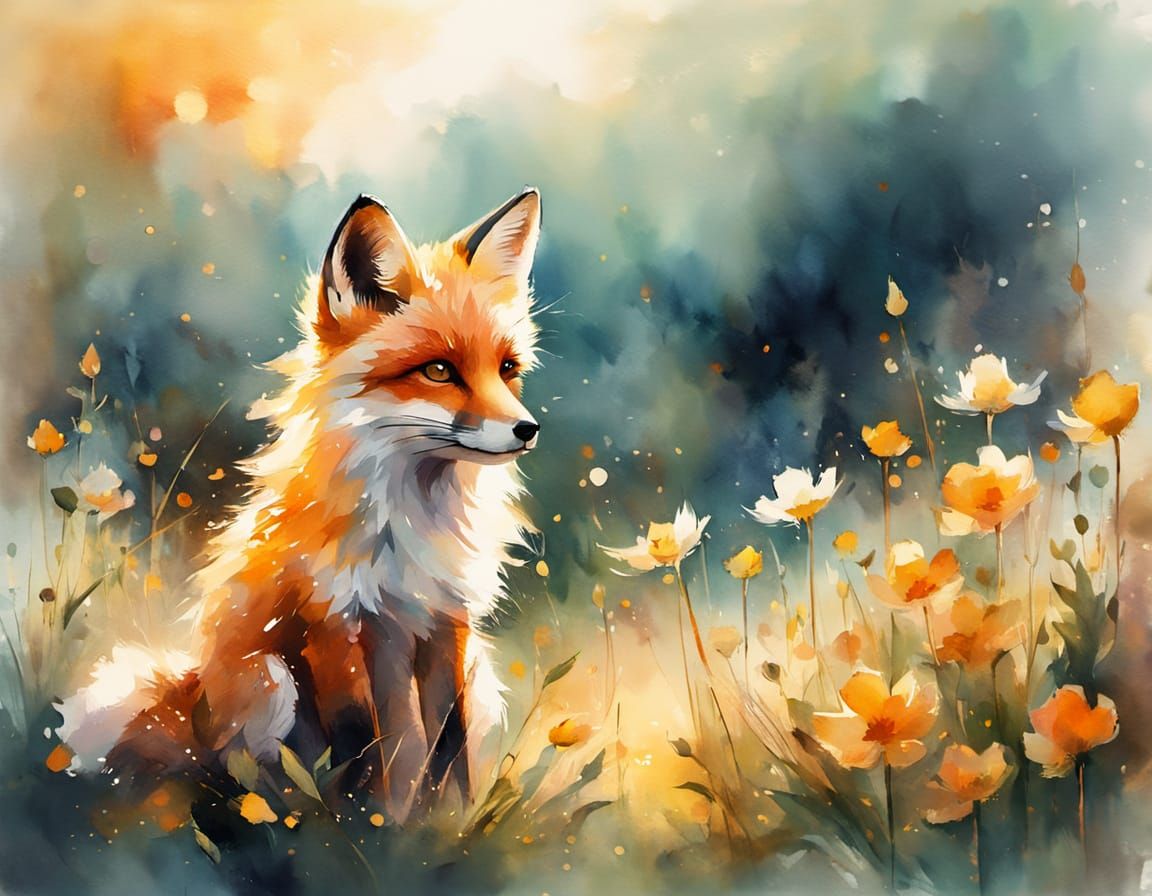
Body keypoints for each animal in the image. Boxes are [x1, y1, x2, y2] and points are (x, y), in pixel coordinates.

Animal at [56, 187, 545, 822]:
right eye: (439, 370)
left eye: (508, 369)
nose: (527, 430)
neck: (409, 526)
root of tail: (191, 697)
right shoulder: (332, 623)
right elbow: (362, 745)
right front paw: (373, 829)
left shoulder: (447, 622)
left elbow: (447, 747)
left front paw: (446, 824)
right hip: (267, 683)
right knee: (250, 777)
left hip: (479, 673)